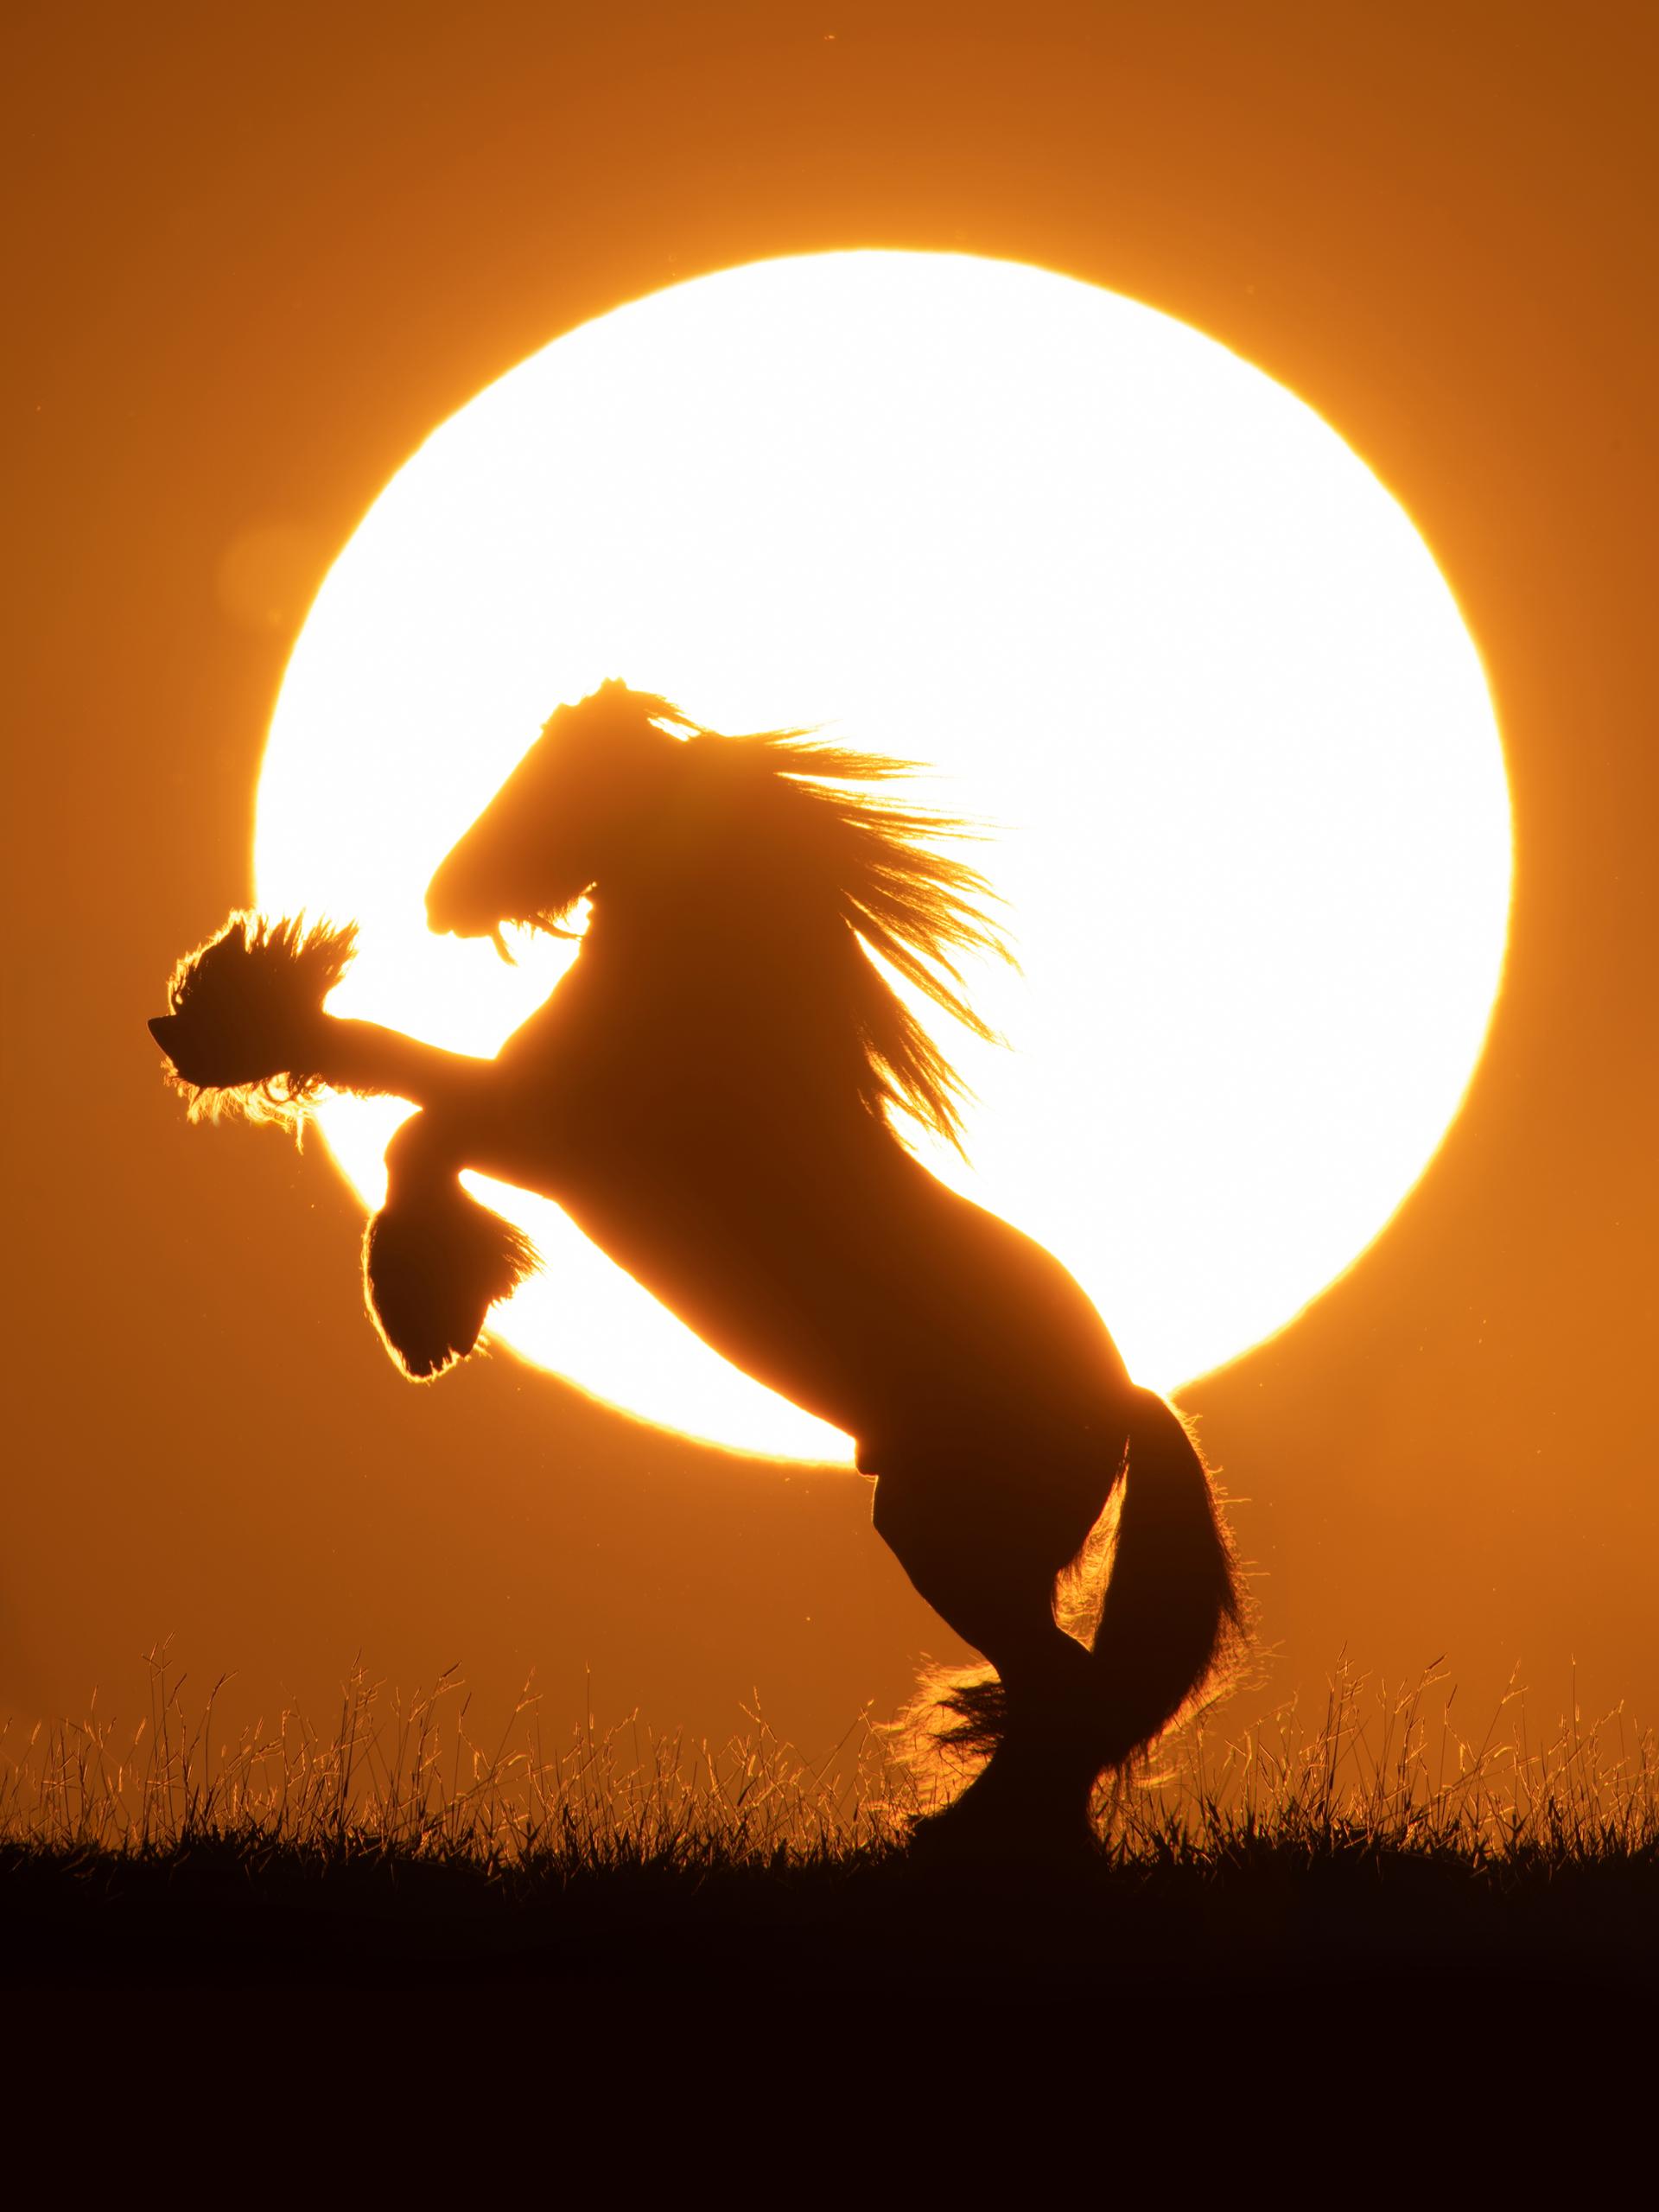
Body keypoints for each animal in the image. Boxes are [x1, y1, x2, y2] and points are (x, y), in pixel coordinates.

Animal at [149, 679, 1244, 1855]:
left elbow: (415, 1117)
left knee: (1065, 1694)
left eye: (569, 776)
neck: (712, 1023)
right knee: (1061, 1699)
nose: (448, 896)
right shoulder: (541, 1132)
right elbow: (399, 1090)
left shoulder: (553, 1137)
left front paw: (428, 1309)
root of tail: (1125, 1396)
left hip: (950, 1534)